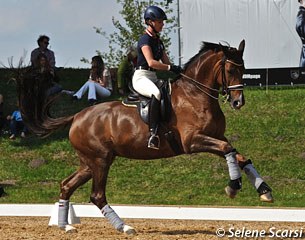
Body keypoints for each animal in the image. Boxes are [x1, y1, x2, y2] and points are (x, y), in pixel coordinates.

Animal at [16, 39, 272, 234]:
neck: (196, 94)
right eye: (230, 70)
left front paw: (264, 190)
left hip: (90, 162)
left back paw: (66, 226)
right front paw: (233, 187)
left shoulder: (217, 137)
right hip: (100, 161)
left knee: (67, 185)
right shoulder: (193, 141)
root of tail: (77, 116)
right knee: (97, 195)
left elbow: (240, 157)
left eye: (243, 68)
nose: (238, 102)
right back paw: (124, 227)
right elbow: (229, 151)